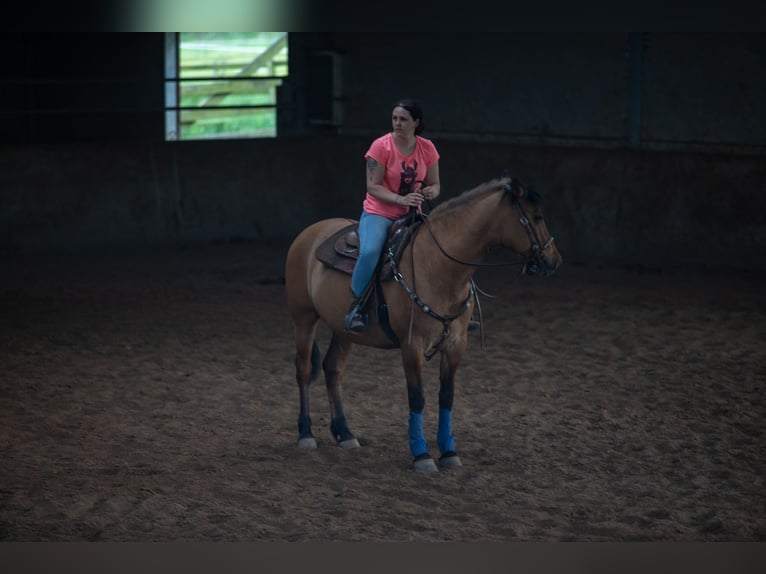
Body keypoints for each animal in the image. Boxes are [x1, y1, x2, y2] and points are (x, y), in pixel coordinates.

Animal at [284, 176, 560, 472]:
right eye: (537, 216)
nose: (554, 260)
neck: (439, 267)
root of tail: (311, 232)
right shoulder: (412, 345)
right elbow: (417, 398)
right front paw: (422, 455)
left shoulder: (456, 344)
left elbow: (446, 397)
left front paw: (449, 452)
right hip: (304, 318)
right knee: (303, 370)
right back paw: (306, 433)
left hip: (344, 330)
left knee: (333, 368)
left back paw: (344, 433)